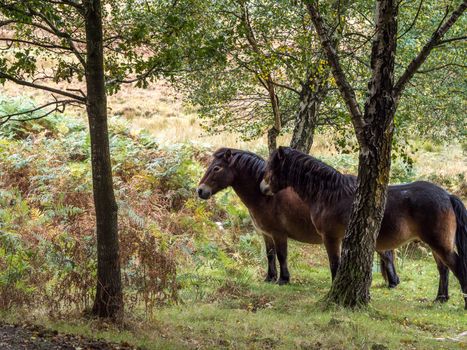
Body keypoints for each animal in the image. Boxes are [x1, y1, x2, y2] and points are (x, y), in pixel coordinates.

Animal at [198, 148, 402, 288]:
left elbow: (281, 255)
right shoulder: (266, 234)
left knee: (386, 254)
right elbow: (270, 255)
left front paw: (283, 279)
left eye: (216, 168)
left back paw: (392, 283)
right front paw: (269, 278)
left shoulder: (278, 234)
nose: (200, 191)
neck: (266, 197)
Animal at [262, 146, 467, 308]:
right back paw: (441, 298)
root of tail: (448, 196)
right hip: (436, 245)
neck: (330, 194)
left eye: (272, 166)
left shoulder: (331, 238)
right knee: (443, 269)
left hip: (439, 244)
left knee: (457, 267)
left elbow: (334, 266)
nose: (263, 188)